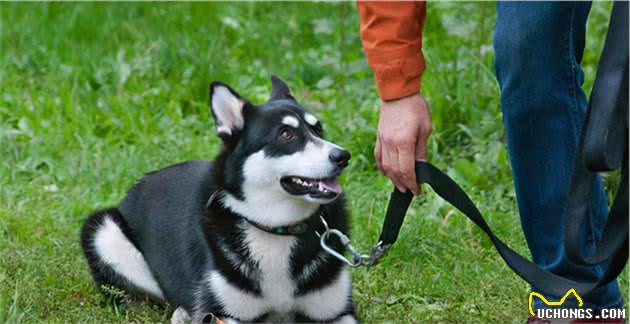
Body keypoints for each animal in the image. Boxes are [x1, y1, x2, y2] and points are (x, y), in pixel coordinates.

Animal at [80, 77, 356, 322]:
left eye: (318, 129)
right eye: (286, 134)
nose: (343, 156)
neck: (276, 229)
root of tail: (140, 183)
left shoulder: (337, 313)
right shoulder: (224, 315)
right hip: (103, 230)